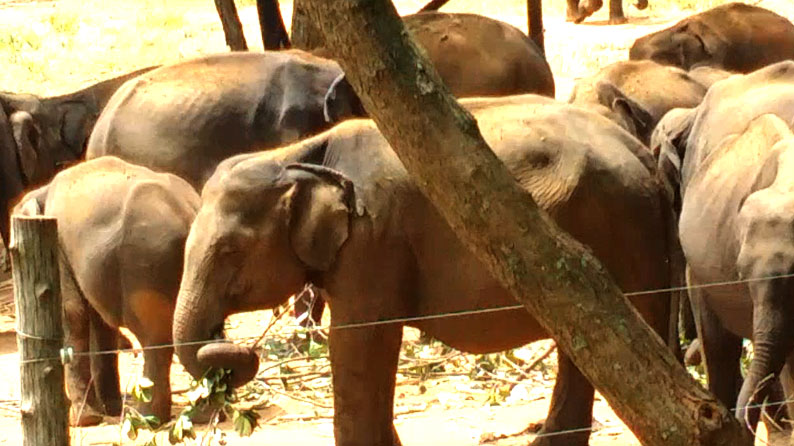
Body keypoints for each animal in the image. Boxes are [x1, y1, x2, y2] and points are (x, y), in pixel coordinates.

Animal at [12, 156, 200, 426]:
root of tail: (189, 212)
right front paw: (109, 410)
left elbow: (72, 314)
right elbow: (100, 324)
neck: (41, 192)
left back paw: (147, 418)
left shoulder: (58, 247)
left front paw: (83, 420)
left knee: (155, 338)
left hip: (146, 263)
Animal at [169, 96, 676, 446]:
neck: (294, 154)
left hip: (625, 229)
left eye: (230, 251)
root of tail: (643, 153)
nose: (242, 352)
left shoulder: (374, 240)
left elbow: (358, 342)